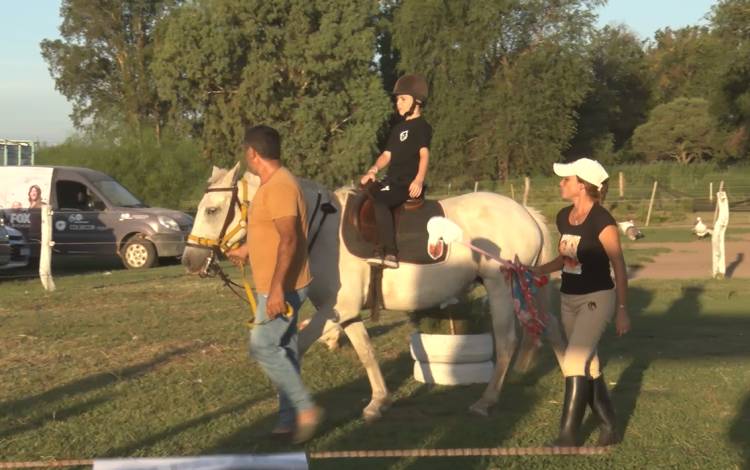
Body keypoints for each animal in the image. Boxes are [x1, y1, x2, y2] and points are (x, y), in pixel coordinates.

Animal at [184, 164, 564, 418]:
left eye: (212, 210)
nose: (191, 260)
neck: (319, 232)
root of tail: (526, 212)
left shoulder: (337, 309)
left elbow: (299, 346)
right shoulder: (346, 312)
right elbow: (366, 352)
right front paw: (378, 401)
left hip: (502, 287)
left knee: (508, 341)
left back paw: (487, 400)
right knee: (550, 327)